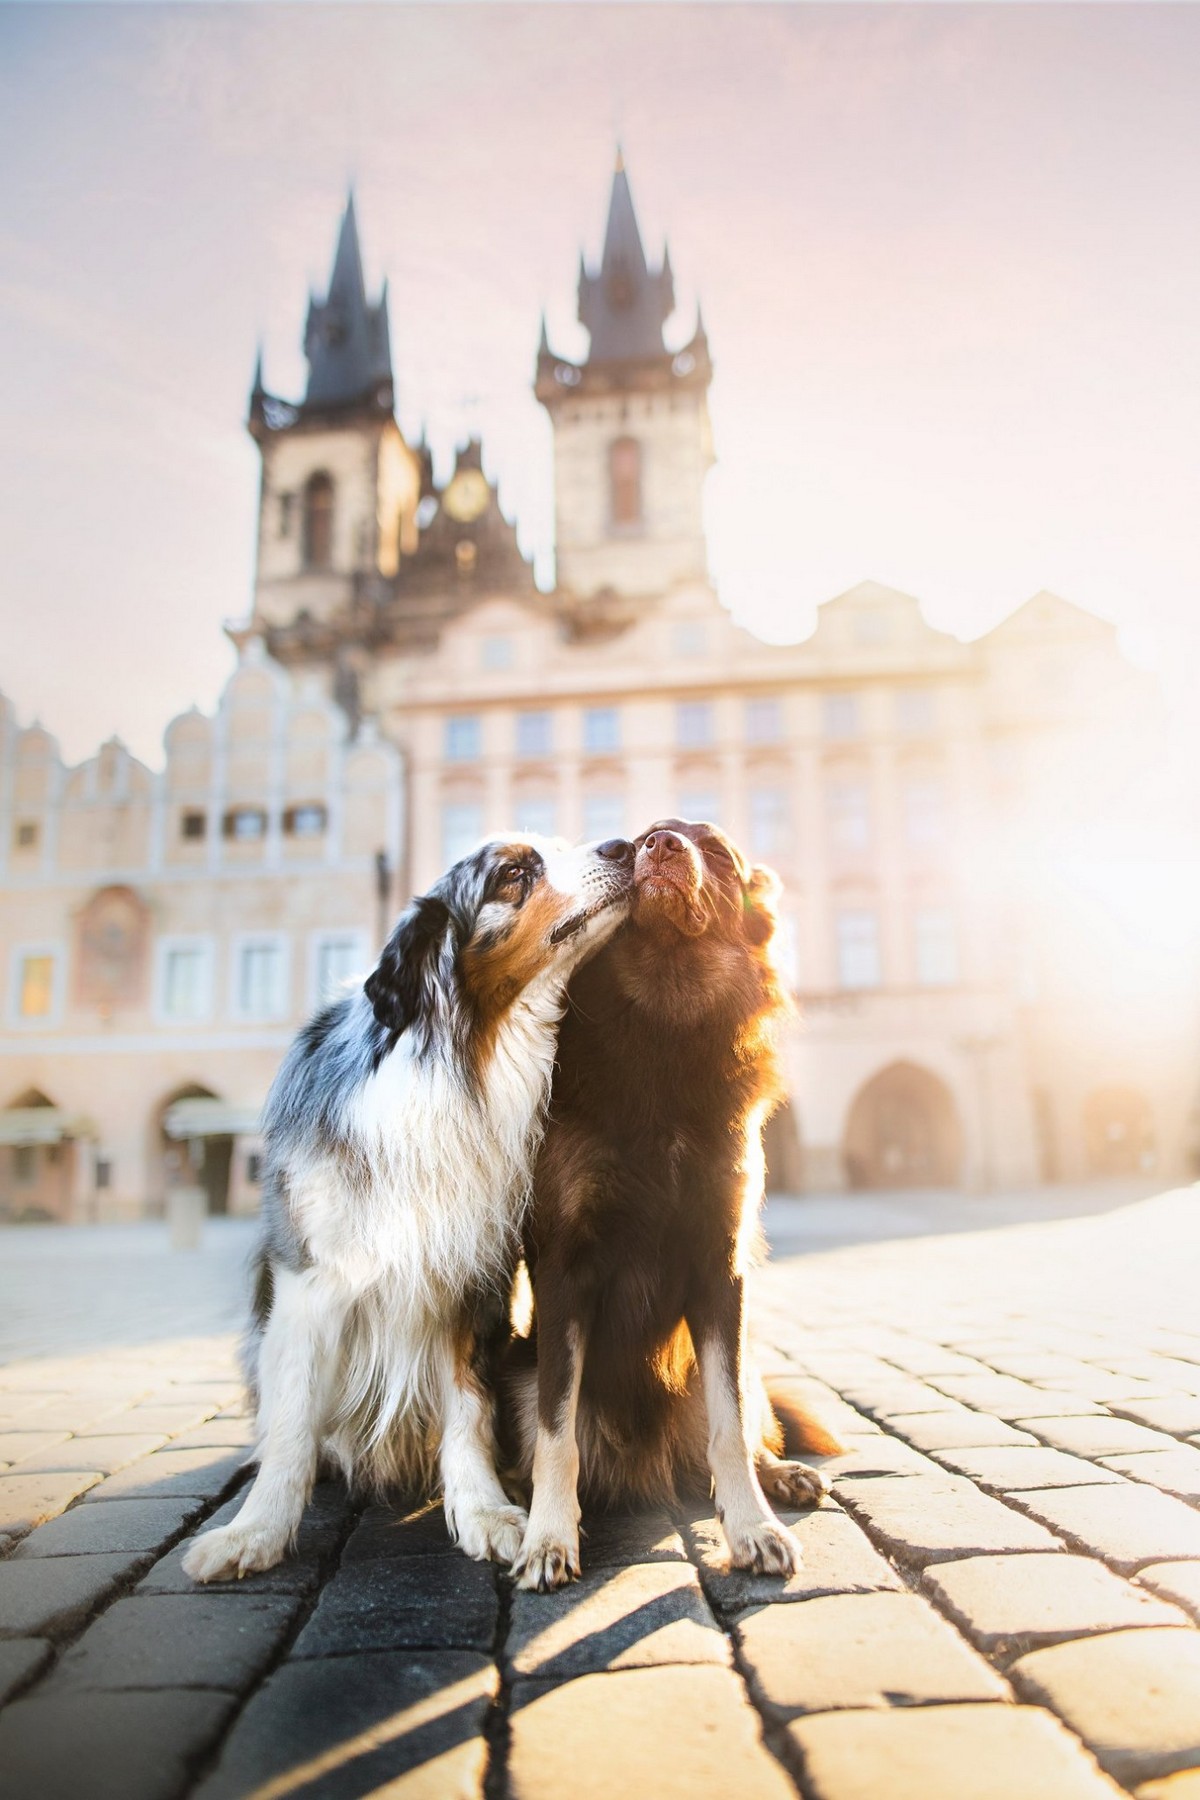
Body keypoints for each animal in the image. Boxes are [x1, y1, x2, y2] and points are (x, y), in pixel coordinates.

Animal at [181, 828, 633, 1576]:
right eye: (515, 874)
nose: (626, 846)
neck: (458, 1063)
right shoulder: (309, 1286)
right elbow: (293, 1421)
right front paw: (257, 1531)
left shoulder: (470, 1279)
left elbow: (468, 1409)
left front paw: (483, 1511)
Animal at [510, 820, 841, 1591]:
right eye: (637, 841)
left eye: (715, 849)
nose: (658, 845)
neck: (663, 1020)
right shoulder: (565, 1275)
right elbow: (556, 1434)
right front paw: (548, 1536)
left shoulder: (721, 1270)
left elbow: (729, 1426)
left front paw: (751, 1528)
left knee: (742, 1421)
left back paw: (782, 1474)